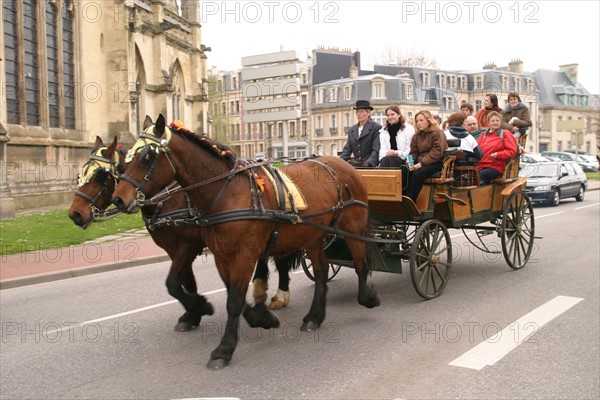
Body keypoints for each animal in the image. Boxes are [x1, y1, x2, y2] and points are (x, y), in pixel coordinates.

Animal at [111, 114, 380, 370]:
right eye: (126, 157)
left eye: (146, 156)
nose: (119, 199)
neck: (227, 192)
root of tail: (341, 164)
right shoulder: (220, 255)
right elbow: (227, 294)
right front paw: (257, 318)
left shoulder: (238, 253)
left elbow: (231, 299)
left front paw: (223, 348)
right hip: (312, 236)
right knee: (322, 271)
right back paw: (314, 316)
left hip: (352, 227)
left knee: (360, 264)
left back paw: (367, 297)